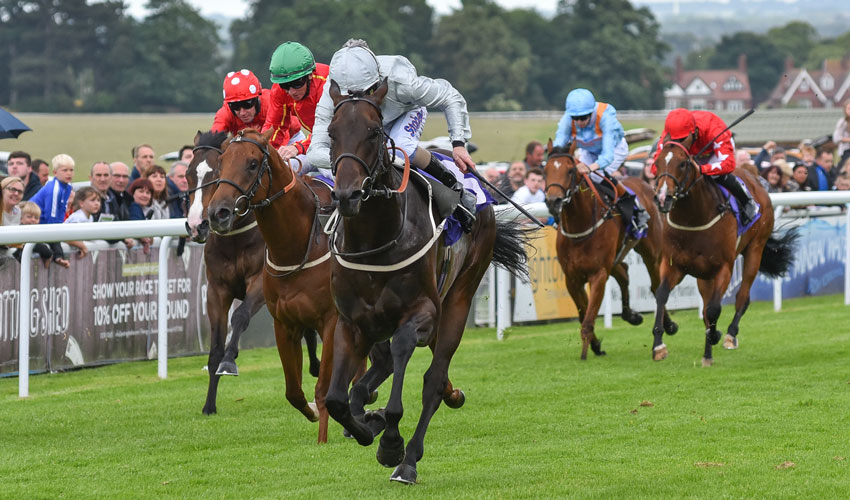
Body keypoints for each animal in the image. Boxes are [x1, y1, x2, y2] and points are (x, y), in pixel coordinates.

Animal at [204, 129, 336, 442]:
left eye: (253, 164)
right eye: (221, 164)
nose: (218, 213)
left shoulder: (332, 319)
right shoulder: (222, 291)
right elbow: (294, 392)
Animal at [322, 81, 528, 484]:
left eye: (374, 132)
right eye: (331, 133)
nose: (347, 195)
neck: (374, 242)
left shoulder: (421, 313)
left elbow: (402, 361)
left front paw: (390, 442)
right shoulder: (351, 323)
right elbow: (336, 400)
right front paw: (366, 426)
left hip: (458, 298)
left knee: (433, 379)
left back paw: (408, 460)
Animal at [648, 139, 796, 366]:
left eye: (682, 164)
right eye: (656, 163)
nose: (663, 198)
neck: (693, 217)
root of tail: (753, 174)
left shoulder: (723, 267)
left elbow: (713, 309)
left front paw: (710, 347)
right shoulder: (674, 264)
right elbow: (662, 295)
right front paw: (658, 345)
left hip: (755, 248)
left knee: (742, 297)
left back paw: (729, 335)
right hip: (704, 275)